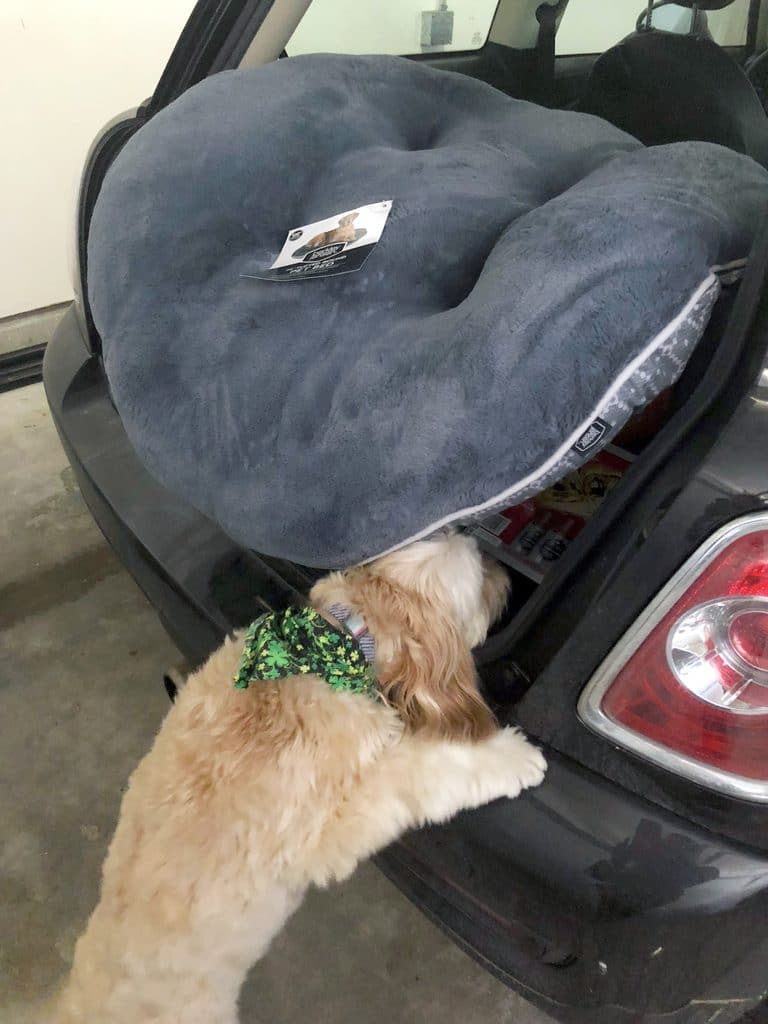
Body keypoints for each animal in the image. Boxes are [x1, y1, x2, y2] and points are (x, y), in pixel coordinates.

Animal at [49, 532, 548, 1019]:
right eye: (481, 578)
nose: (509, 578)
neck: (338, 641)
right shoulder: (345, 814)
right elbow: (430, 771)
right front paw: (515, 757)